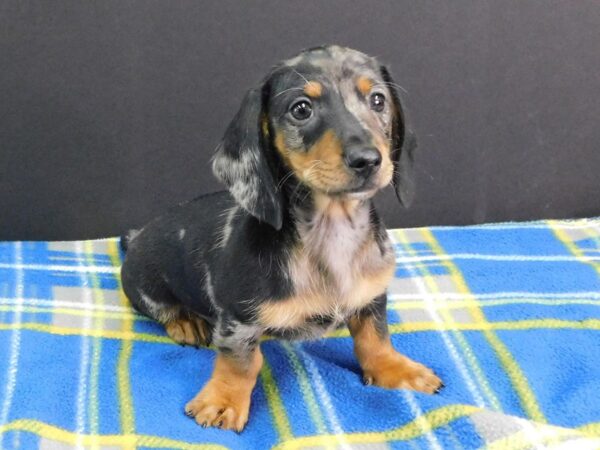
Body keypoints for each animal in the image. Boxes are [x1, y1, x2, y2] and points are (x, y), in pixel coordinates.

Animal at [119, 45, 442, 432]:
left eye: (378, 100)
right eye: (301, 109)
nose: (367, 160)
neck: (332, 234)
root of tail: (138, 235)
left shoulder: (372, 297)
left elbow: (374, 338)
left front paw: (394, 369)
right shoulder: (239, 318)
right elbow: (241, 363)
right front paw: (224, 401)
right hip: (144, 285)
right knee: (160, 309)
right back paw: (185, 322)